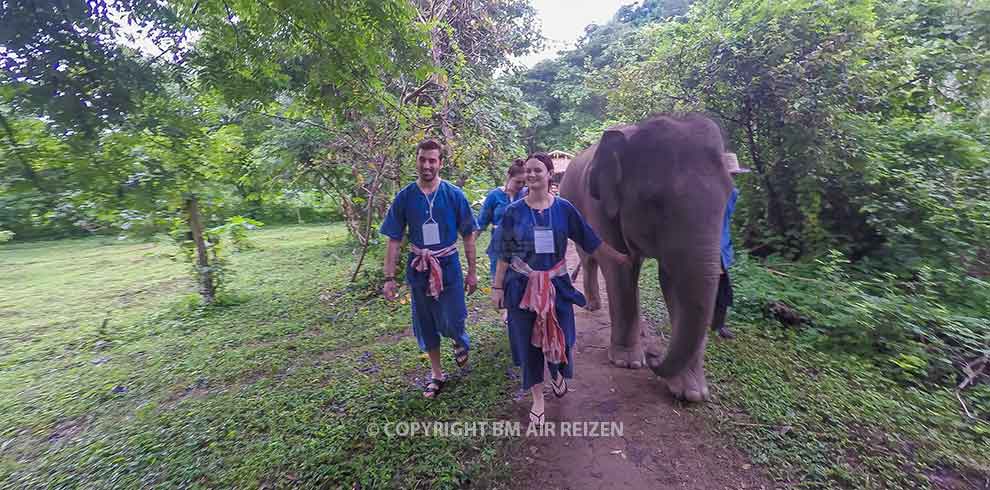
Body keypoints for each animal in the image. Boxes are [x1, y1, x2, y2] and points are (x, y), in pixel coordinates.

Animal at [560, 114, 732, 402]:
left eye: (729, 197)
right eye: (654, 201)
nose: (654, 355)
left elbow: (671, 277)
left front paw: (691, 393)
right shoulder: (598, 204)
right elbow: (620, 266)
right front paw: (628, 362)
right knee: (588, 258)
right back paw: (593, 306)